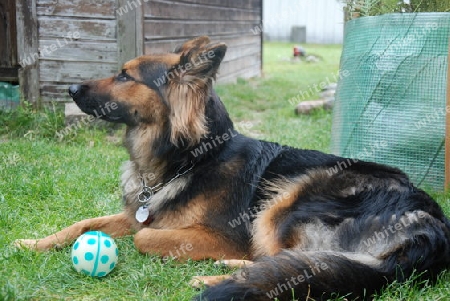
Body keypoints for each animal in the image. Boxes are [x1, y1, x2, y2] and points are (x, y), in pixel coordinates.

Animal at [15, 36, 450, 298]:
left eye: (125, 75)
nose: (70, 89)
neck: (190, 157)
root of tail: (430, 228)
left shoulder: (216, 234)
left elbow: (144, 237)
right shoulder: (140, 210)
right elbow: (83, 223)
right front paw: (32, 243)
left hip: (287, 201)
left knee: (297, 266)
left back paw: (217, 277)